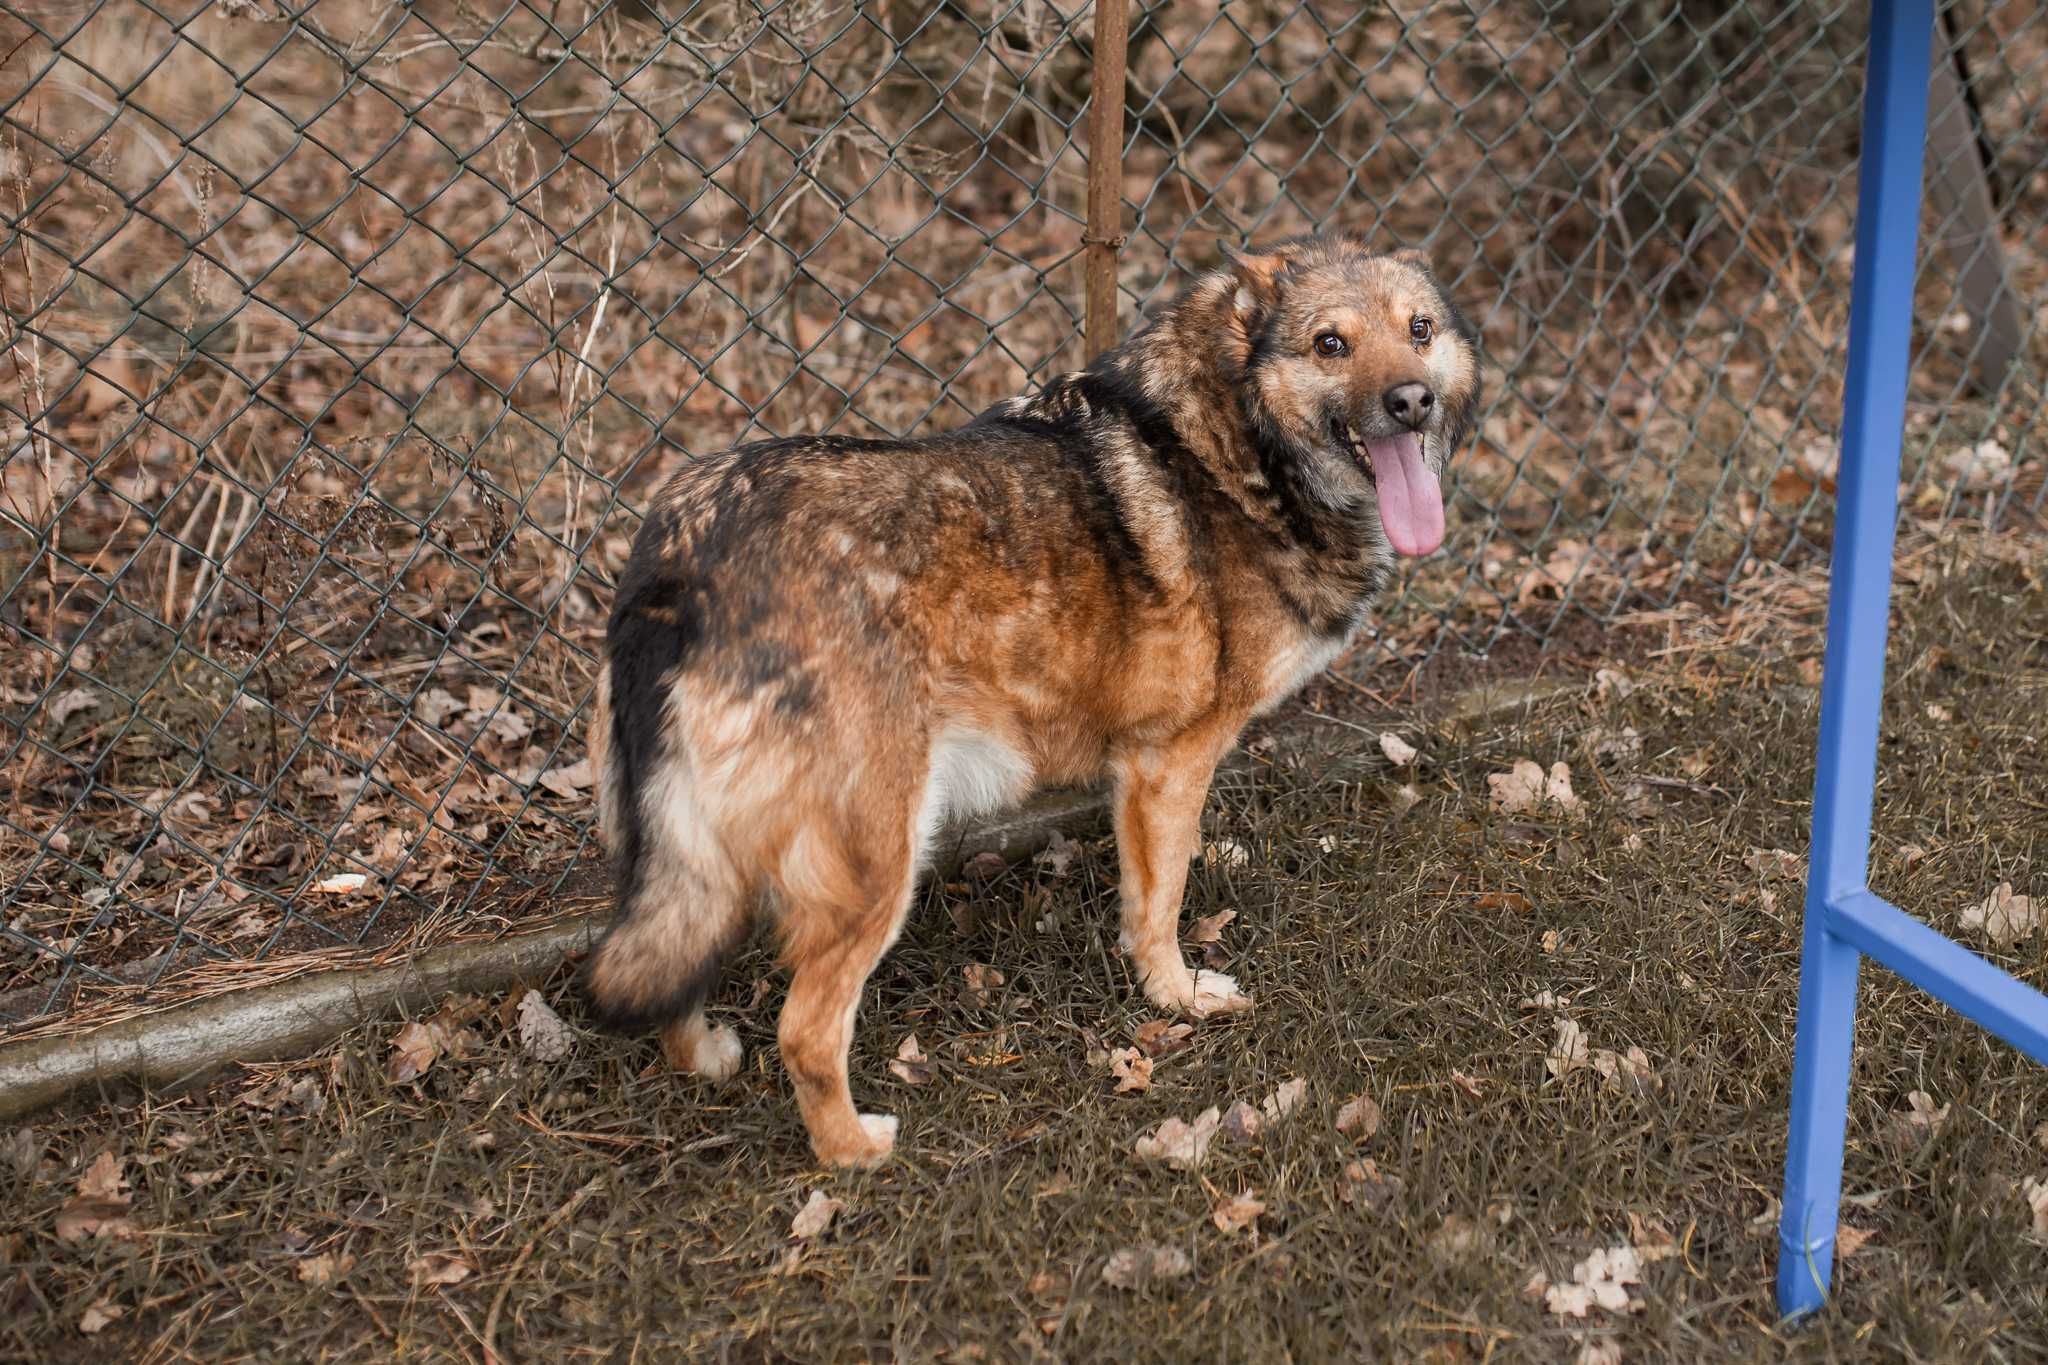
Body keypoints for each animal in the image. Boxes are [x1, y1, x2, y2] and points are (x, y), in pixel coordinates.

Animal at [585, 232, 1482, 1162]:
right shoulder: (1170, 760)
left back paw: (702, 1056)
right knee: (804, 1029)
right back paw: (854, 1150)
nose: (1411, 401)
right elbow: (1160, 902)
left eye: (1419, 329)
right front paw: (1177, 995)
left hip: (690, 858)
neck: (1230, 443)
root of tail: (682, 554)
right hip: (881, 858)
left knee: (672, 972)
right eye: (1329, 344)